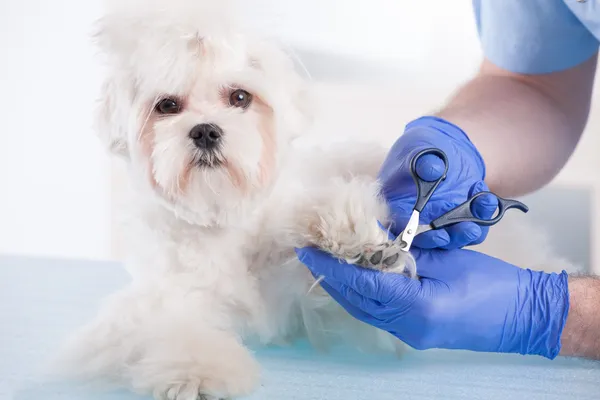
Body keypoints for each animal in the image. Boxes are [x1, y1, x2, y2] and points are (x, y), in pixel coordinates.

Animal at [54, 0, 580, 400]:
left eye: (240, 97)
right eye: (167, 106)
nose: (205, 130)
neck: (226, 217)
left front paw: (351, 237)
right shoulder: (171, 296)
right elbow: (176, 328)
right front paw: (196, 374)